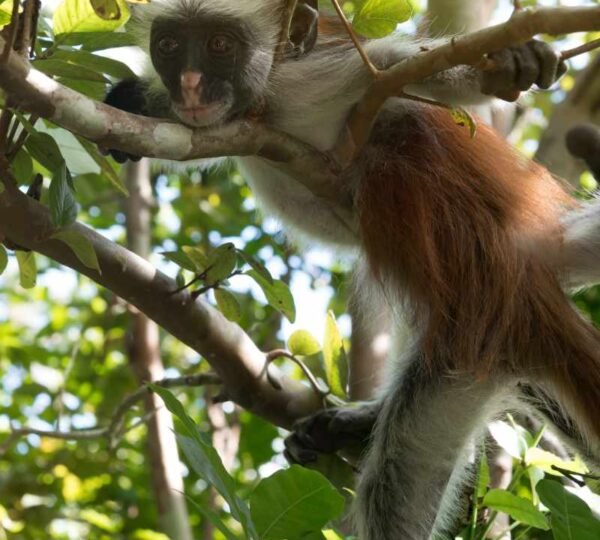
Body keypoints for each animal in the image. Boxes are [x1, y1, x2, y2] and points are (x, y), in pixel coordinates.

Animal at [105, 2, 600, 536]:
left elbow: (407, 74)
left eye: (220, 45)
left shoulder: (316, 77)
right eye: (169, 47)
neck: (264, 107)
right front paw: (139, 102)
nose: (191, 84)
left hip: (460, 350)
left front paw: (508, 65)